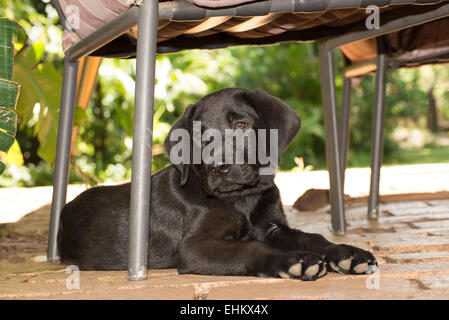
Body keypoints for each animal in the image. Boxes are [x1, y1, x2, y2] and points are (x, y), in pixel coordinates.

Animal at [57, 87, 376, 280]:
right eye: (199, 135)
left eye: (241, 125)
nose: (217, 166)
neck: (243, 200)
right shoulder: (195, 247)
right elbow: (251, 249)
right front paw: (293, 261)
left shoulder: (273, 226)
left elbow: (313, 237)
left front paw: (347, 254)